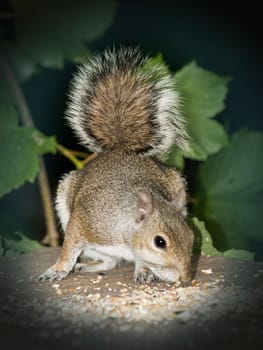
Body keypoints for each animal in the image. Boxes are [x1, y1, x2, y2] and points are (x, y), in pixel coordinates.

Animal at [39, 46, 196, 284]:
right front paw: (58, 269)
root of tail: (120, 148)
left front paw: (144, 271)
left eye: (192, 236)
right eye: (160, 242)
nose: (186, 278)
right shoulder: (84, 221)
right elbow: (69, 250)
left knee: (111, 262)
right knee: (109, 261)